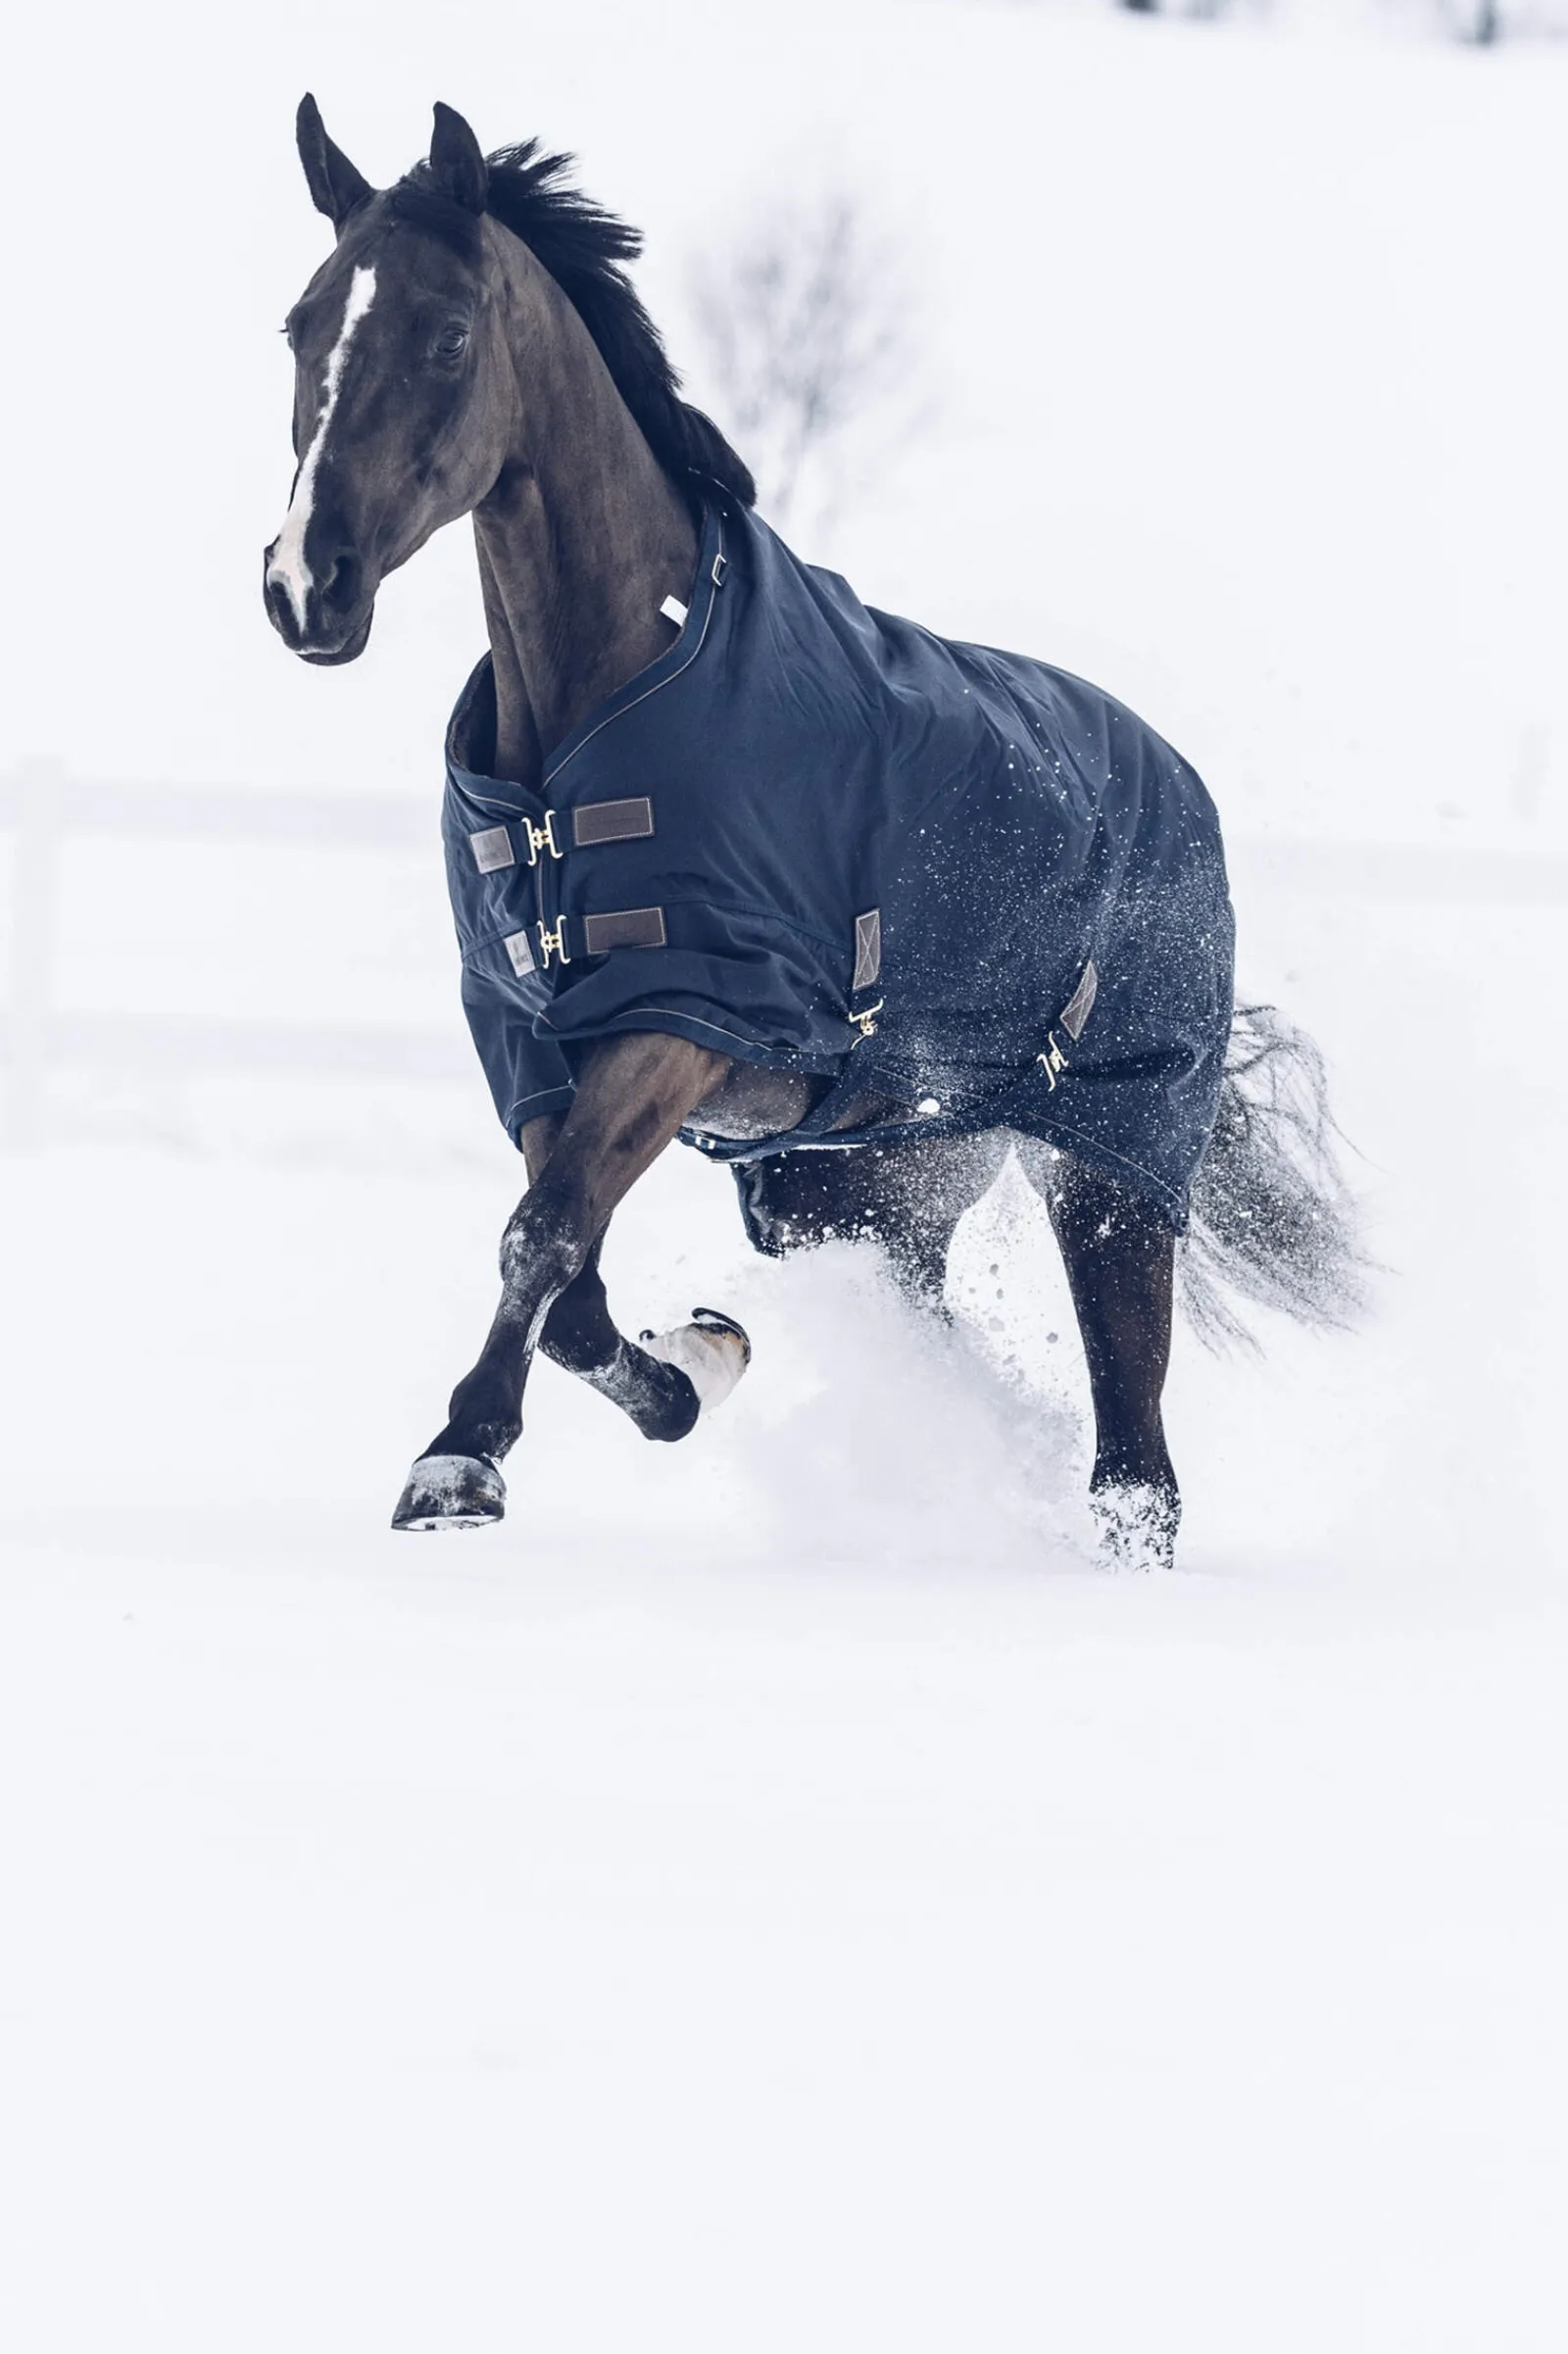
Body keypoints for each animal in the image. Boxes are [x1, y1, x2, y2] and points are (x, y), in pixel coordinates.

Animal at [262, 99, 1362, 1565]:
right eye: (300, 324)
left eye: (444, 333)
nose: (303, 585)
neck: (605, 707)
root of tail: (1179, 784)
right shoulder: (532, 1041)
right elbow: (570, 1274)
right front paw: (696, 1363)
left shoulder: (688, 1017)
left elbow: (541, 1235)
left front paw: (459, 1462)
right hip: (863, 1195)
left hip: (1112, 1170)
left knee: (1137, 1469)